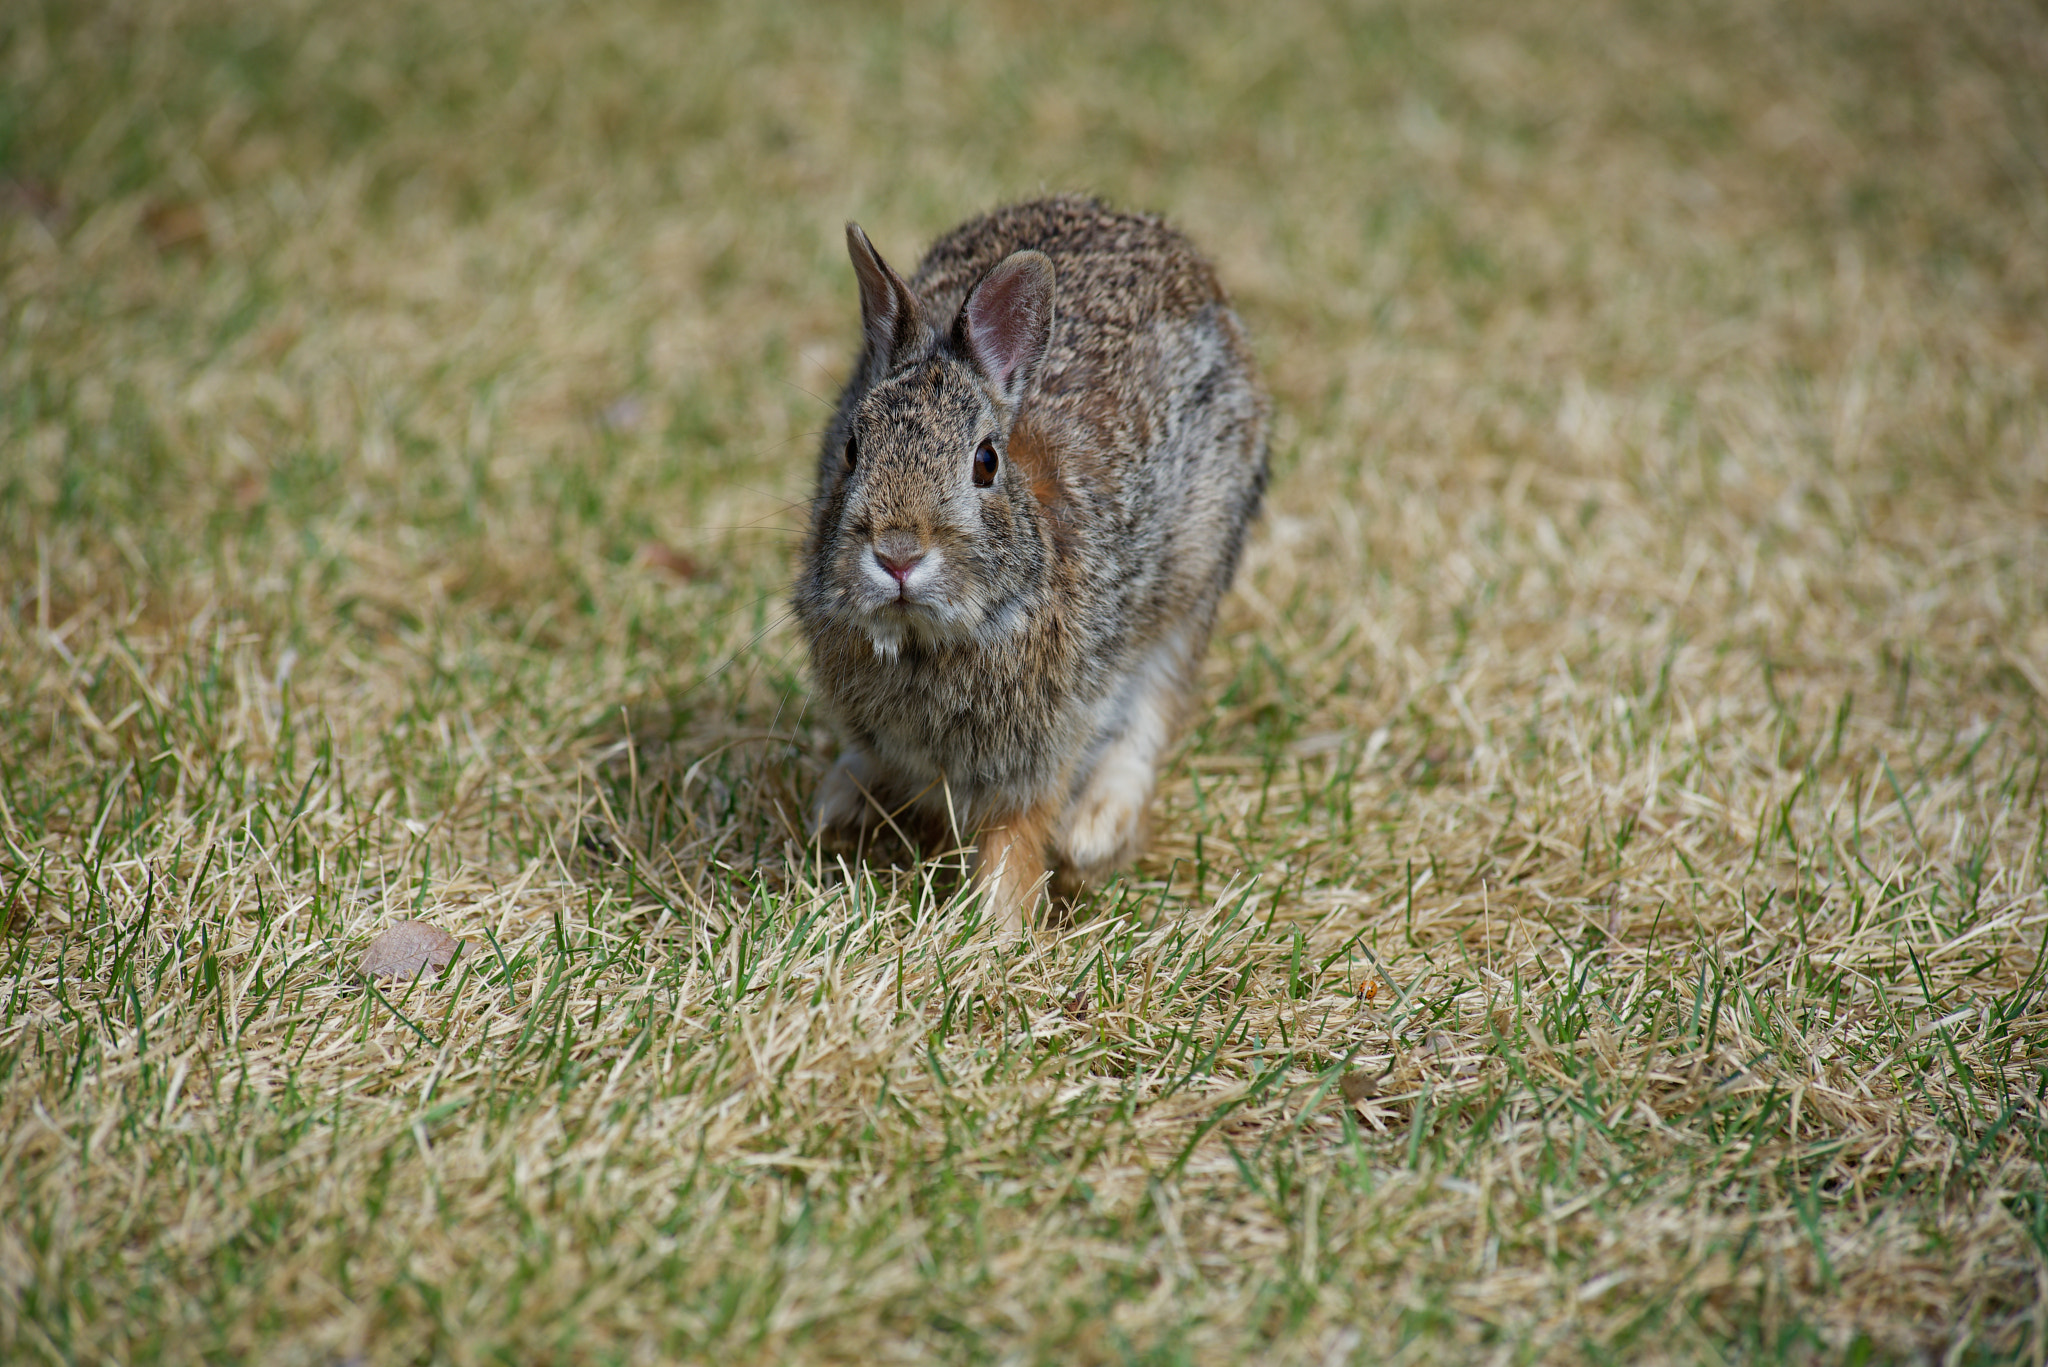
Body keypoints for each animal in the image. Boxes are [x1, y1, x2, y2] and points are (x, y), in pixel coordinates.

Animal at [794, 197, 1261, 934]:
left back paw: (1094, 830)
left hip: (1193, 578)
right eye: (850, 448)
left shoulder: (1042, 745)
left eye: (986, 461)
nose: (898, 555)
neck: (926, 643)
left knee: (1153, 707)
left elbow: (1015, 835)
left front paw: (993, 927)